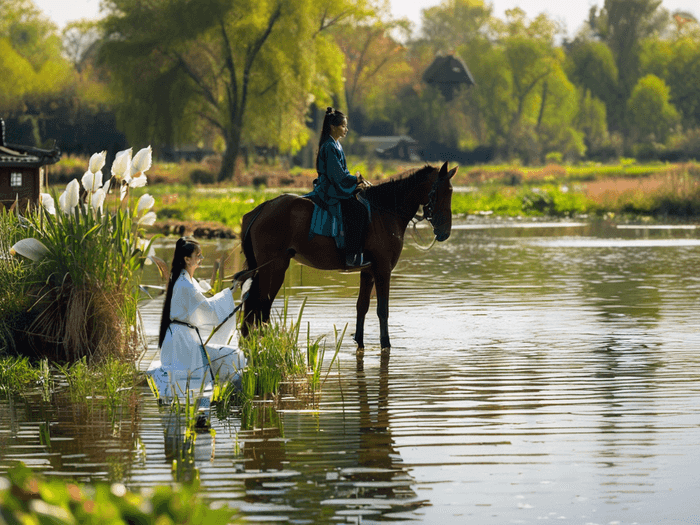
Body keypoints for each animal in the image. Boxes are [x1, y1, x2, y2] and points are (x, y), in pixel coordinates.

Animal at [238, 162, 460, 354]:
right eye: (445, 191)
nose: (445, 231)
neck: (385, 210)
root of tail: (263, 207)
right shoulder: (383, 269)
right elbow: (382, 309)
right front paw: (386, 344)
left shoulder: (368, 271)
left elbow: (362, 307)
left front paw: (360, 342)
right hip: (274, 268)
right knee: (261, 306)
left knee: (254, 307)